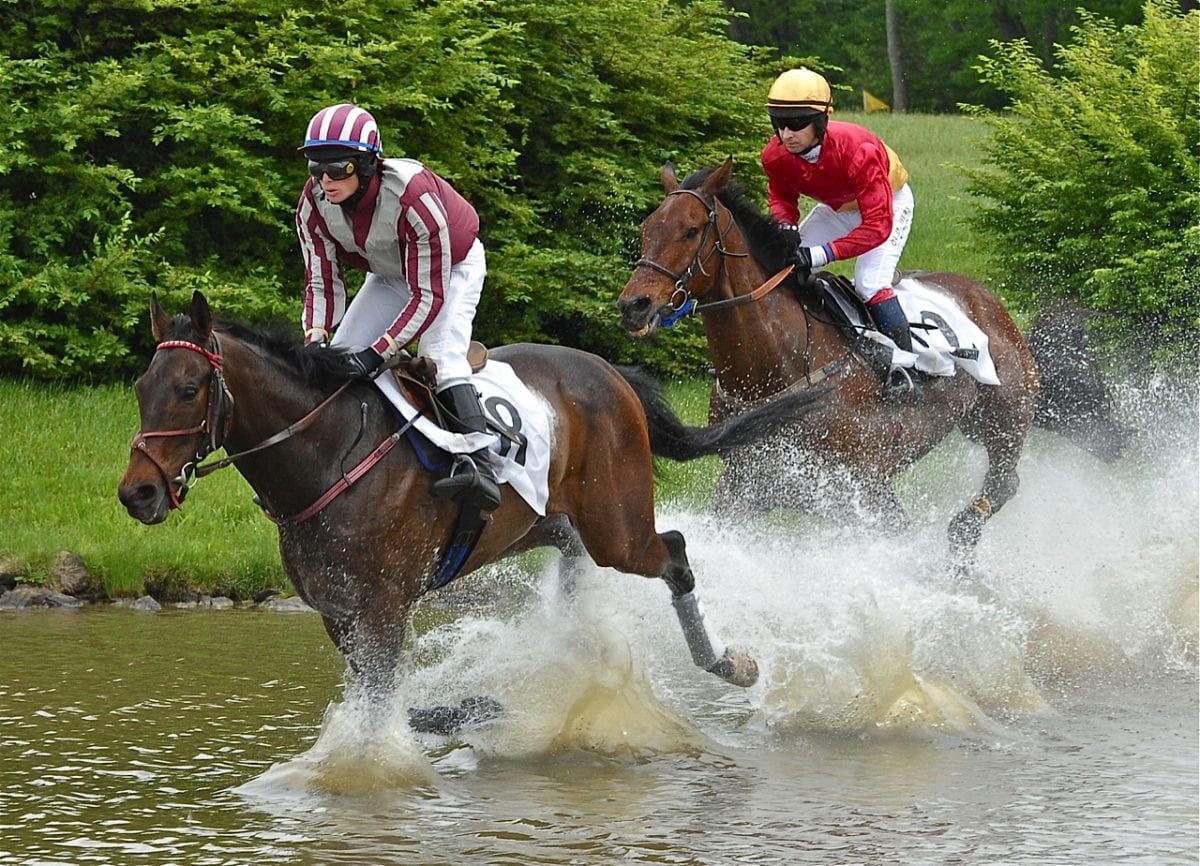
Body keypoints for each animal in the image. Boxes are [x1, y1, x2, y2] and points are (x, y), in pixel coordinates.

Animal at [117, 290, 825, 714]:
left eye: (188, 389)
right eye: (140, 387)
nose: (137, 492)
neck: (326, 458)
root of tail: (611, 371)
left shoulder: (383, 607)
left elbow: (383, 705)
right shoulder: (339, 614)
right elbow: (388, 702)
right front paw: (467, 710)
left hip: (617, 527)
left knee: (673, 551)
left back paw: (729, 663)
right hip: (548, 524)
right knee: (578, 568)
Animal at [619, 157, 1041, 556]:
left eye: (690, 230)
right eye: (646, 228)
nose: (634, 305)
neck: (779, 366)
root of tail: (985, 297)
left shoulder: (866, 492)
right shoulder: (748, 483)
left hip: (1005, 416)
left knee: (1005, 481)